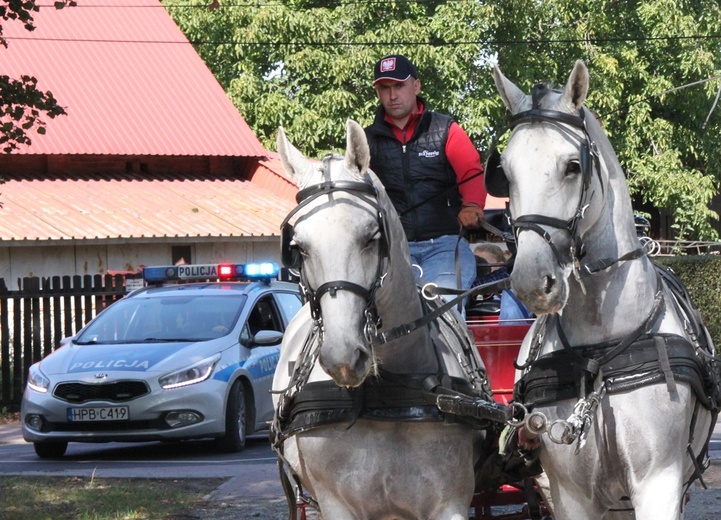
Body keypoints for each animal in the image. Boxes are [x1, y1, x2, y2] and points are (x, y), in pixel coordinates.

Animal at [270, 120, 496, 516]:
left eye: (371, 237)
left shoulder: (450, 504)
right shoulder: (337, 506)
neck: (390, 394)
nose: (343, 356)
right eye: (298, 248)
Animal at [486, 59, 716, 516]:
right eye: (505, 172)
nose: (531, 282)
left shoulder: (659, 483)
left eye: (572, 166)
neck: (600, 349)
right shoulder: (571, 494)